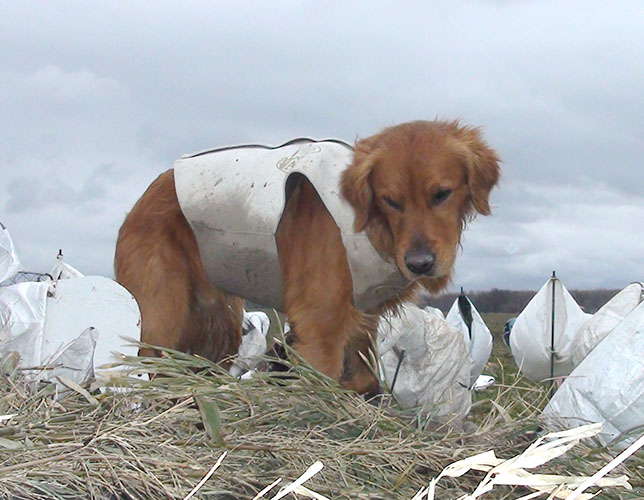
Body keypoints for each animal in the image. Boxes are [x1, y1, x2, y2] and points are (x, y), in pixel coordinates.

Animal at [114, 120, 498, 394]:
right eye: (390, 200)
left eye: (442, 194)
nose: (420, 263)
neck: (369, 224)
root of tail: (148, 194)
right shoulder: (320, 320)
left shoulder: (363, 311)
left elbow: (362, 373)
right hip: (162, 310)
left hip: (219, 317)